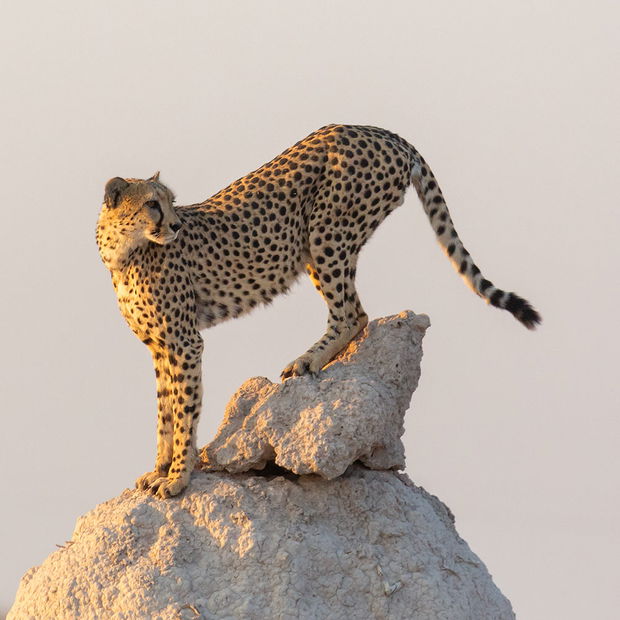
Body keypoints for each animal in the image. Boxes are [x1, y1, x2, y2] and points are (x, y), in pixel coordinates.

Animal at [95, 123, 536, 496]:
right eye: (153, 204)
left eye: (171, 202)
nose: (176, 226)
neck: (124, 252)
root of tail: (379, 129)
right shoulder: (160, 346)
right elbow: (164, 413)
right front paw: (159, 469)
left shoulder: (185, 342)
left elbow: (184, 410)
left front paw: (178, 478)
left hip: (325, 231)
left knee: (353, 313)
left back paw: (307, 361)